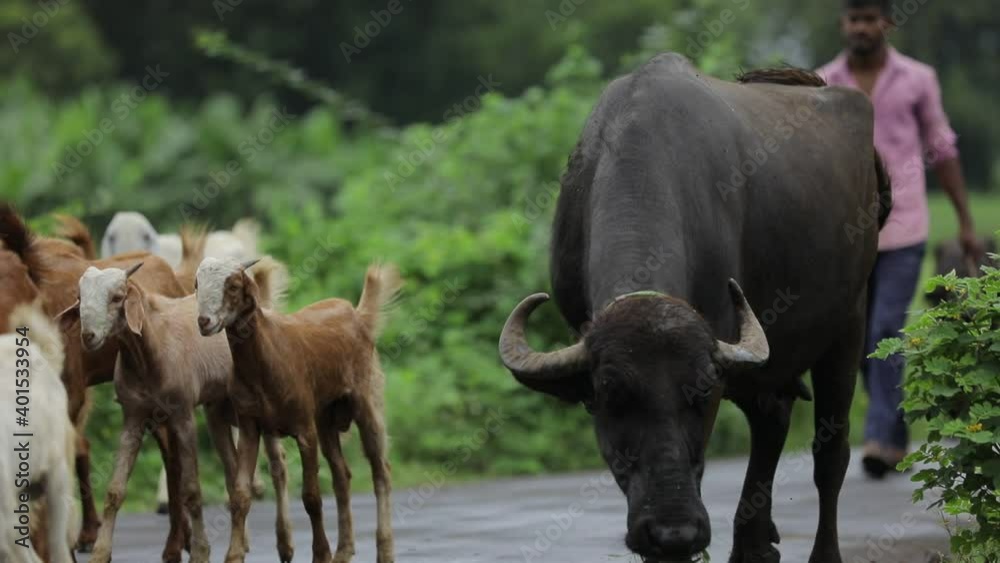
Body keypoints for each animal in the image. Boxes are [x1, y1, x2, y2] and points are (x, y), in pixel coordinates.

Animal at [69, 262, 291, 563]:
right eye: (79, 298)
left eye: (117, 297)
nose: (88, 336)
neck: (150, 352)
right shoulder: (134, 416)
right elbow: (115, 490)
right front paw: (100, 553)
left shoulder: (182, 414)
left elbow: (191, 490)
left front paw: (200, 551)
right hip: (218, 408)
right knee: (232, 467)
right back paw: (243, 543)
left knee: (279, 464)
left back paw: (285, 544)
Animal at [196, 258, 401, 563]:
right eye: (197, 285)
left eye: (232, 286)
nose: (204, 321)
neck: (266, 358)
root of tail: (357, 314)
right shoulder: (249, 426)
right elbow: (240, 495)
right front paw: (233, 556)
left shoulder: (304, 428)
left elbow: (311, 496)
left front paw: (321, 554)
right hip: (326, 416)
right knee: (342, 475)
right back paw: (344, 550)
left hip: (368, 401)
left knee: (381, 471)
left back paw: (384, 550)